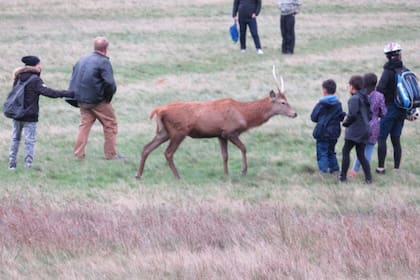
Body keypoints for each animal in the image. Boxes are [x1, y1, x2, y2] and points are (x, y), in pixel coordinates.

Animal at [136, 66, 296, 179]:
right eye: (283, 102)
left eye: (287, 100)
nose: (295, 113)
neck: (244, 115)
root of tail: (159, 110)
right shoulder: (230, 131)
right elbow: (244, 148)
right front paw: (243, 171)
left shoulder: (220, 134)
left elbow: (225, 155)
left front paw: (226, 174)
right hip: (178, 131)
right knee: (168, 153)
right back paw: (177, 176)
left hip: (164, 132)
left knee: (146, 148)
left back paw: (138, 175)